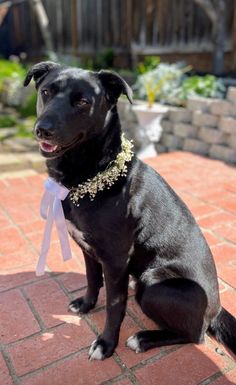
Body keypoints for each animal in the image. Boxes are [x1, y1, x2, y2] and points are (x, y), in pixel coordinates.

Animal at [24, 61, 236, 358]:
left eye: (83, 102)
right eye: (46, 92)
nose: (42, 129)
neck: (92, 176)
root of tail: (216, 310)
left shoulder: (116, 260)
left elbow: (115, 306)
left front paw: (105, 344)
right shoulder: (88, 250)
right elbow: (92, 280)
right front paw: (86, 305)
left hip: (153, 280)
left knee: (197, 335)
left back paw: (144, 338)